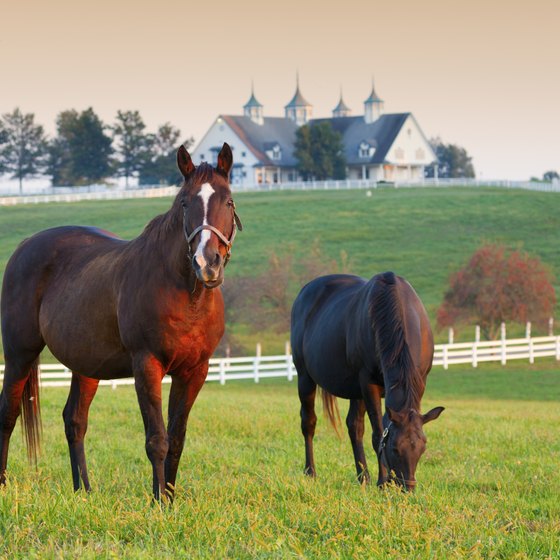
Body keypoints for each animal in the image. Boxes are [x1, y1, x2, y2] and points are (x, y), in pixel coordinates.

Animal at [0, 142, 242, 500]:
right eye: (185, 203)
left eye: (228, 201)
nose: (206, 263)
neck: (187, 296)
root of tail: (24, 245)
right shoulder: (147, 365)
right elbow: (157, 440)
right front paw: (159, 503)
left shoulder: (194, 372)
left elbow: (177, 439)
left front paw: (171, 498)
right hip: (20, 354)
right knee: (8, 413)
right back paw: (4, 483)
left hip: (86, 365)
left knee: (75, 421)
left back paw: (83, 491)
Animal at [290, 272, 444, 490]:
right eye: (395, 448)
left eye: (422, 447)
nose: (407, 487)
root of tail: (305, 291)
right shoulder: (368, 384)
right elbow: (378, 433)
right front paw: (383, 482)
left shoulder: (418, 382)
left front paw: (382, 479)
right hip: (305, 378)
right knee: (308, 422)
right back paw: (310, 471)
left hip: (355, 391)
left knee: (354, 427)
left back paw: (363, 477)